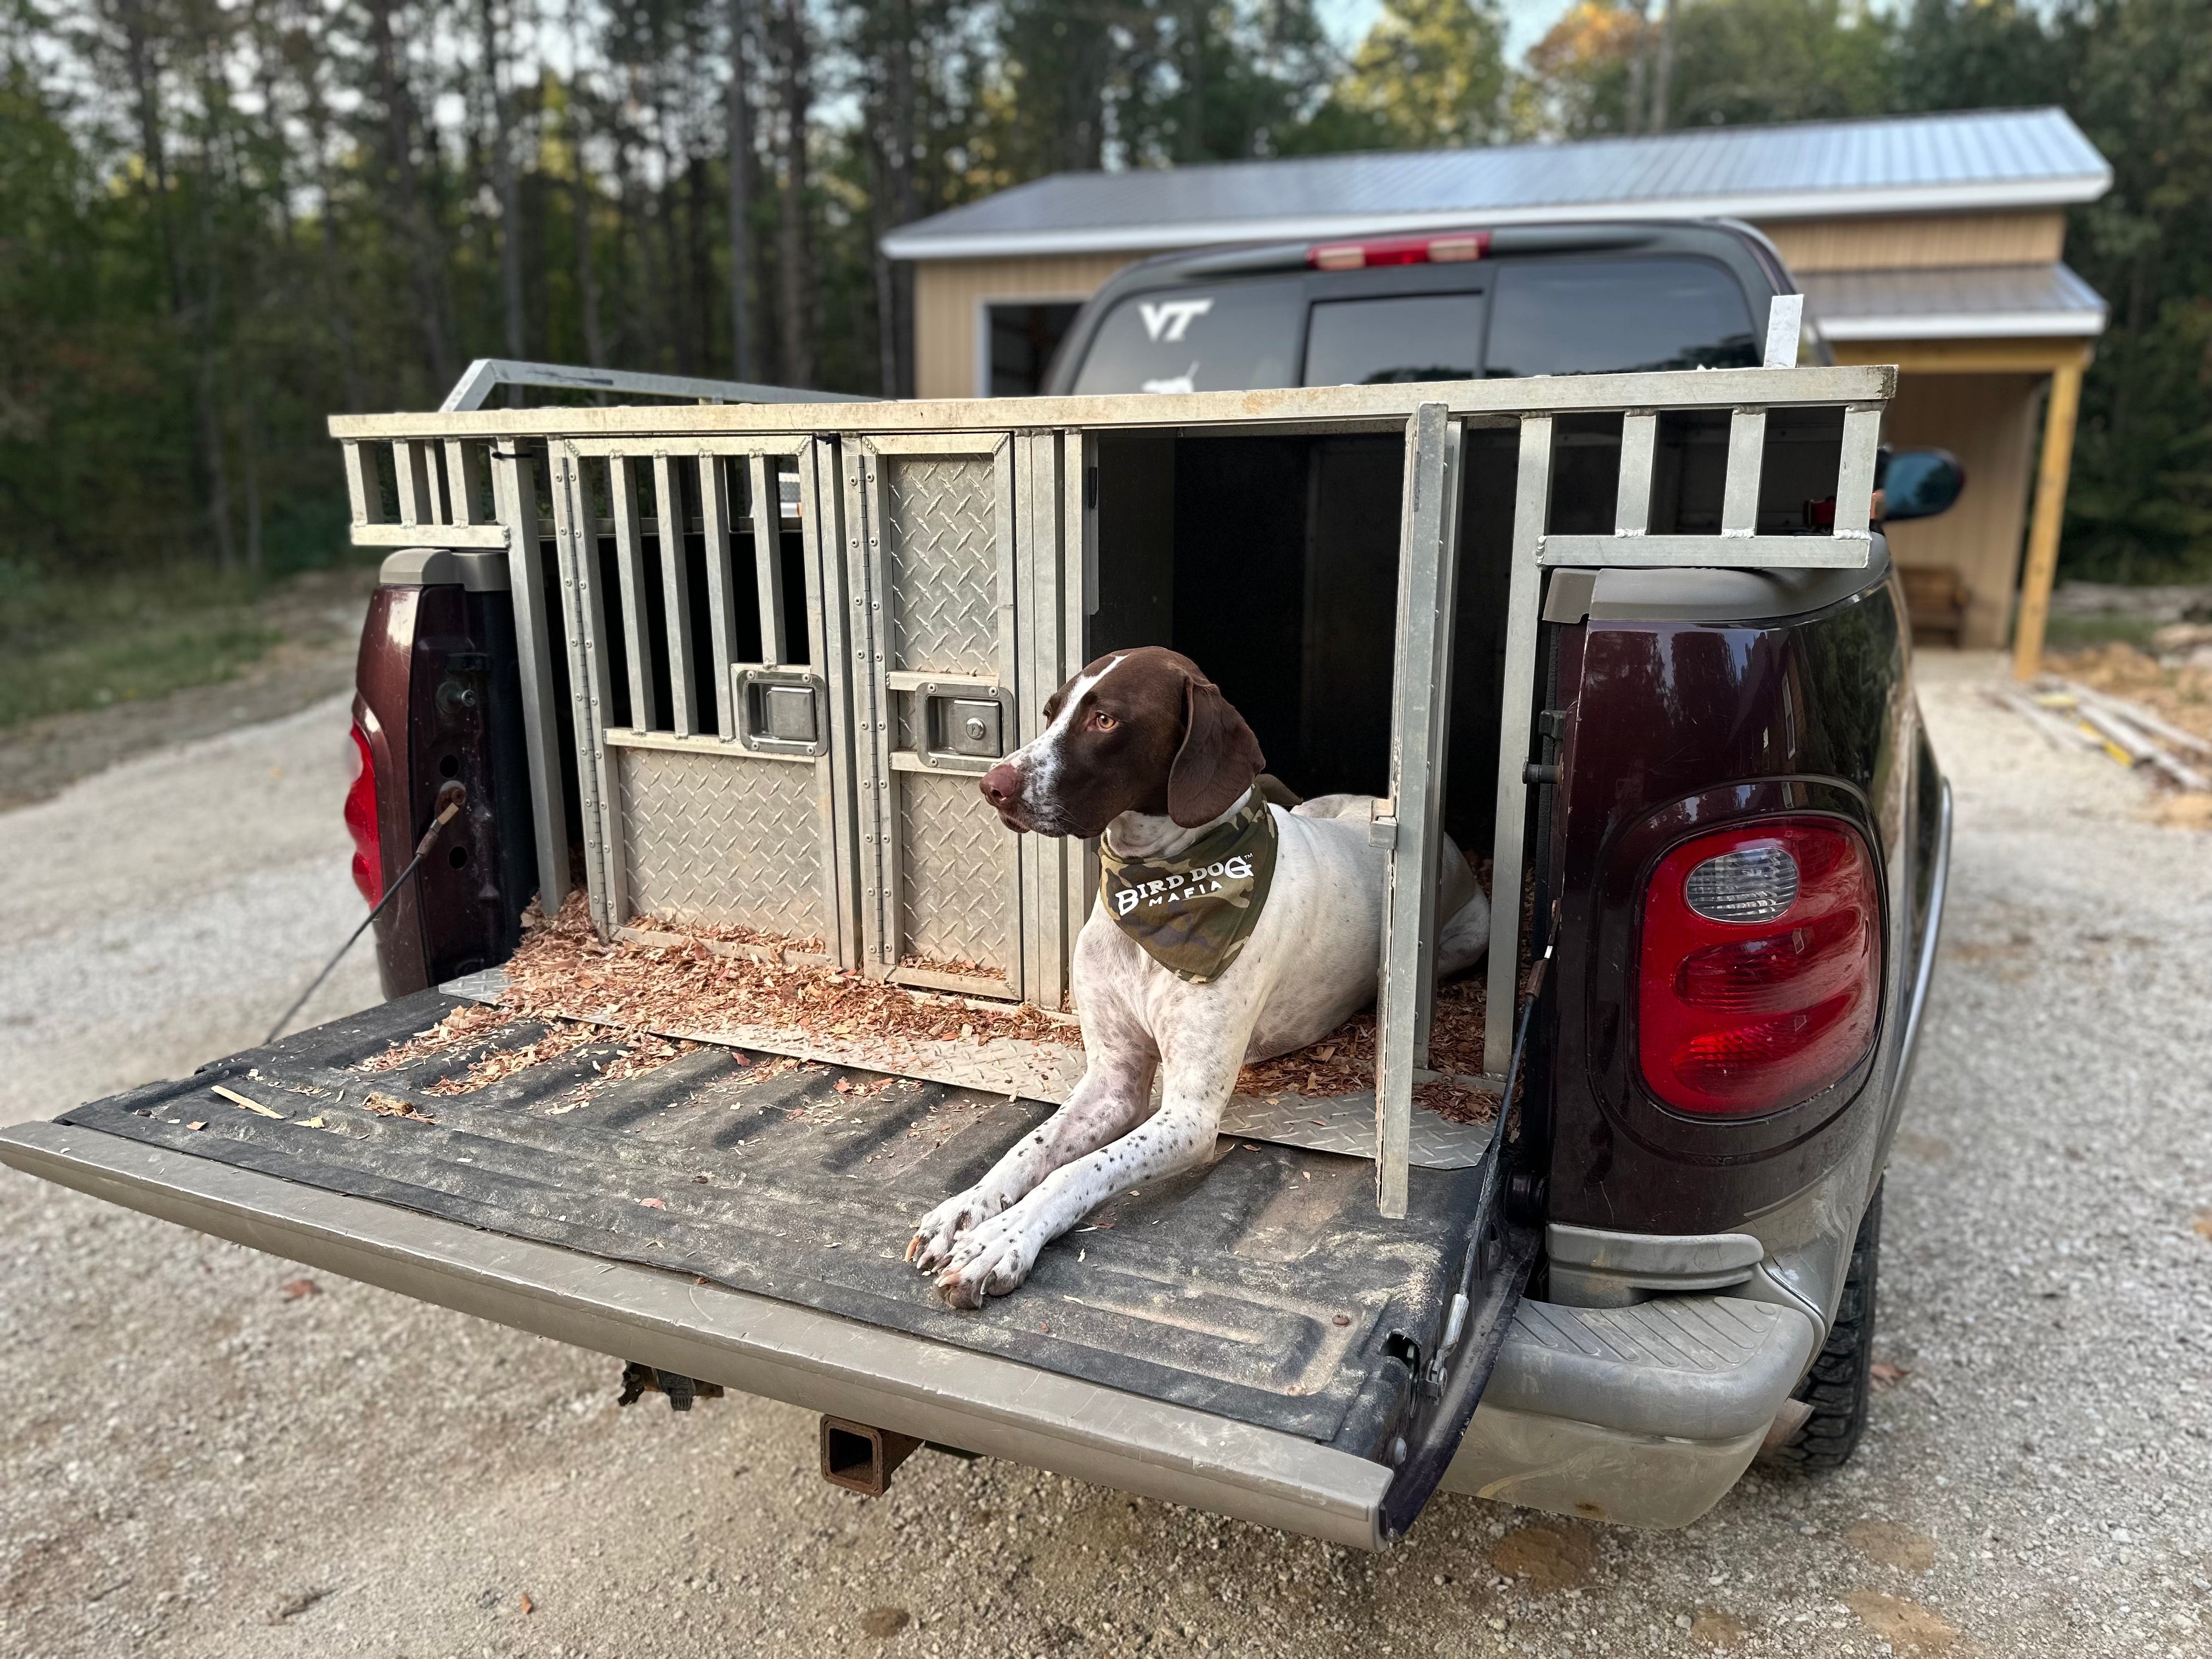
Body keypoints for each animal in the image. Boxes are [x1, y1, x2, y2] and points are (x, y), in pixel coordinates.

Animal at [907, 650, 1495, 1309]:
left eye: (1106, 720)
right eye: (1053, 711)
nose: (993, 786)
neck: (1156, 886)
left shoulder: (1188, 1115)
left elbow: (1072, 1172)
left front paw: (1001, 1241)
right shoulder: (1112, 1080)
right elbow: (1030, 1147)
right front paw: (967, 1208)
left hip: (1467, 939)